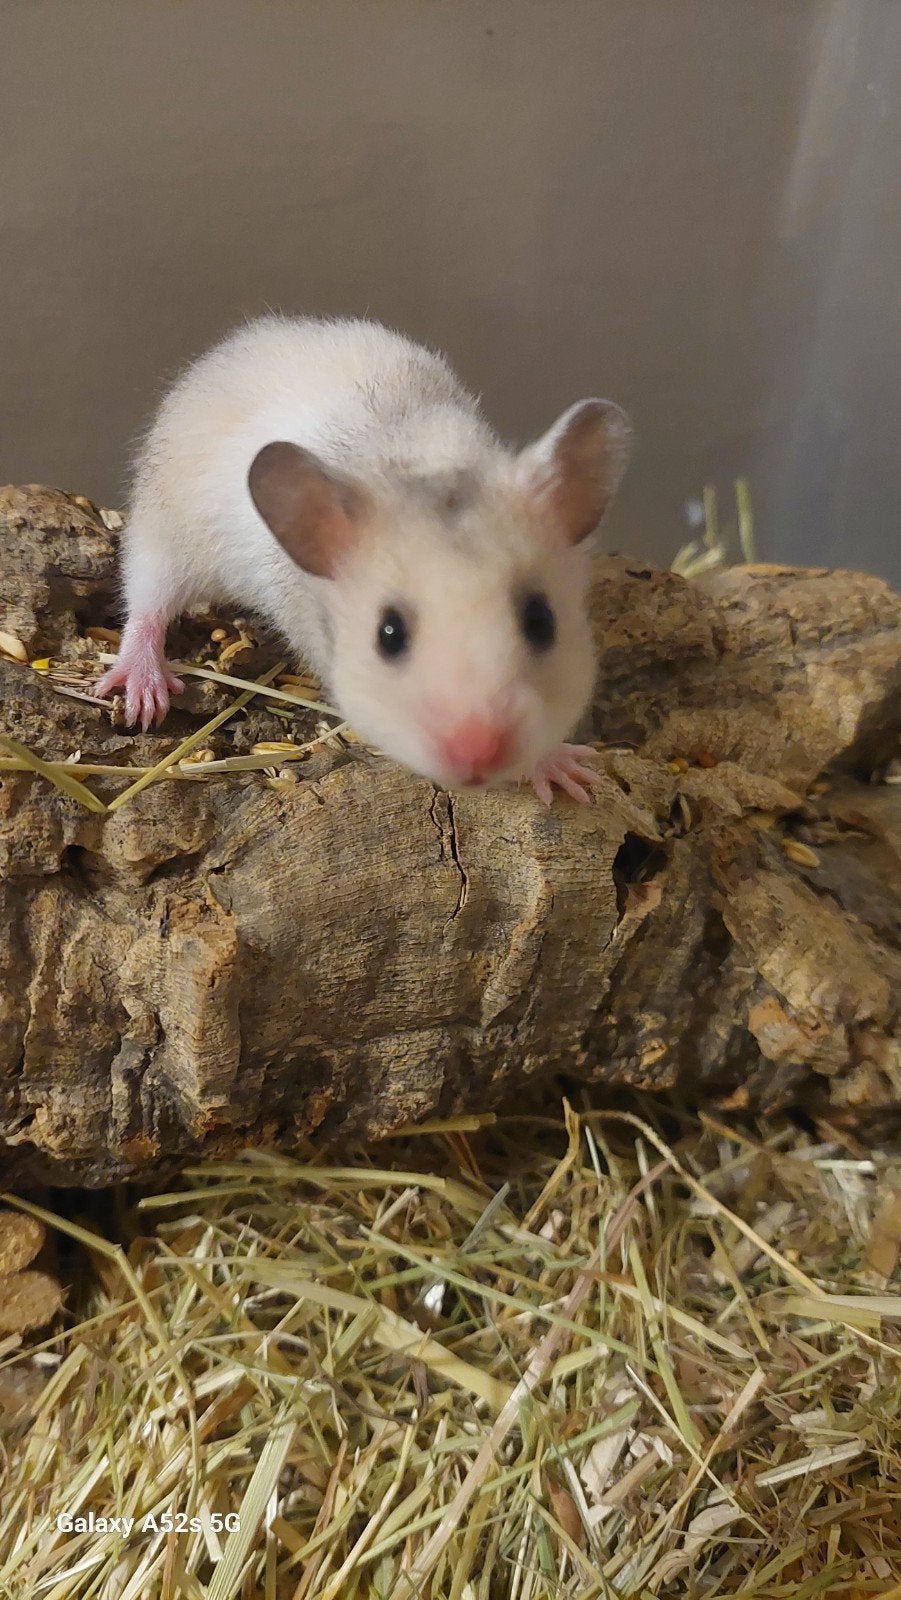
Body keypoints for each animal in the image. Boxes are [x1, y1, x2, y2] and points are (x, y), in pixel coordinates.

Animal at [95, 315, 632, 804]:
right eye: (388, 635)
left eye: (541, 621)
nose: (477, 754)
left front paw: (573, 776)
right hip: (166, 532)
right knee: (145, 605)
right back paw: (142, 698)